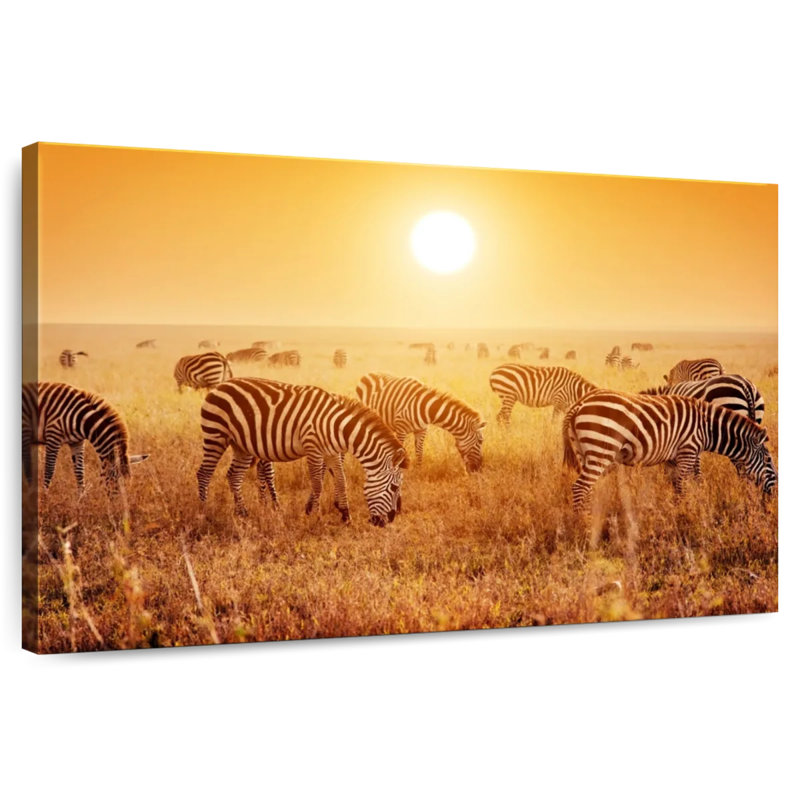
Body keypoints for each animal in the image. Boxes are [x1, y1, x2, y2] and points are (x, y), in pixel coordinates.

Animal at [197, 378, 408, 525]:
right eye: (394, 488)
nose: (387, 521)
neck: (336, 426)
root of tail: (219, 386)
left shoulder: (331, 452)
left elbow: (341, 481)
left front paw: (345, 515)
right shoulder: (313, 448)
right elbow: (317, 484)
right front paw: (315, 516)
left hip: (241, 445)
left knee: (234, 476)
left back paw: (242, 513)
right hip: (216, 435)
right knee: (204, 473)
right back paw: (204, 513)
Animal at [356, 373, 485, 472]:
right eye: (480, 441)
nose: (479, 468)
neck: (426, 409)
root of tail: (367, 374)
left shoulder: (422, 430)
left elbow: (419, 451)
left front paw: (419, 470)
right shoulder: (401, 430)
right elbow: (402, 451)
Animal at [562, 390, 776, 510]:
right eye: (768, 461)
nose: (774, 494)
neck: (706, 428)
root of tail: (579, 404)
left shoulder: (675, 457)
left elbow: (681, 485)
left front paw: (681, 511)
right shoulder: (688, 450)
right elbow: (683, 486)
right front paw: (685, 517)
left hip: (584, 452)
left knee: (587, 489)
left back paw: (589, 517)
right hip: (601, 449)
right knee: (580, 487)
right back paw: (583, 524)